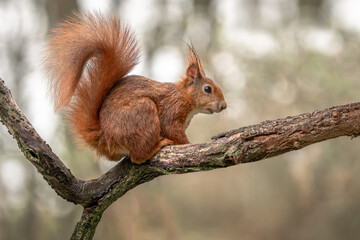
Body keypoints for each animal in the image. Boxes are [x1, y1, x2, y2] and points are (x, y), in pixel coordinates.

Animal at [43, 12, 226, 164]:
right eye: (208, 89)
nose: (224, 106)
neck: (184, 96)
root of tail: (106, 139)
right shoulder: (172, 109)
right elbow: (171, 129)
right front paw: (190, 145)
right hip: (143, 112)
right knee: (137, 157)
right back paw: (156, 147)